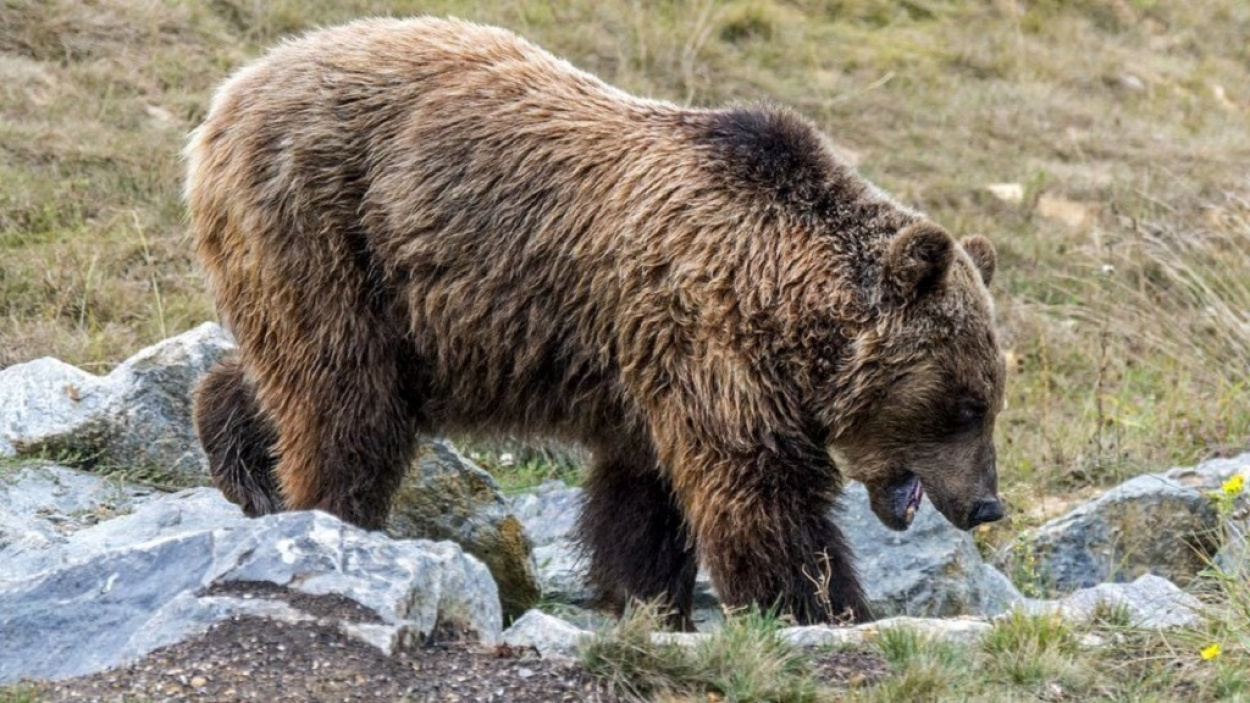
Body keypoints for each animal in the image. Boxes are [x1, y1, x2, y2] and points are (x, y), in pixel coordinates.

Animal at [185, 16, 1005, 620]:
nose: (987, 504)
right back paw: (329, 512)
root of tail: (232, 91)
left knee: (297, 375)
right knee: (346, 398)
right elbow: (762, 494)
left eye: (991, 400)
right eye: (966, 404)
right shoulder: (707, 342)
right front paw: (826, 605)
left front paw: (651, 600)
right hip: (325, 225)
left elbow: (643, 498)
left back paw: (244, 460)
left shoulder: (647, 366)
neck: (785, 303)